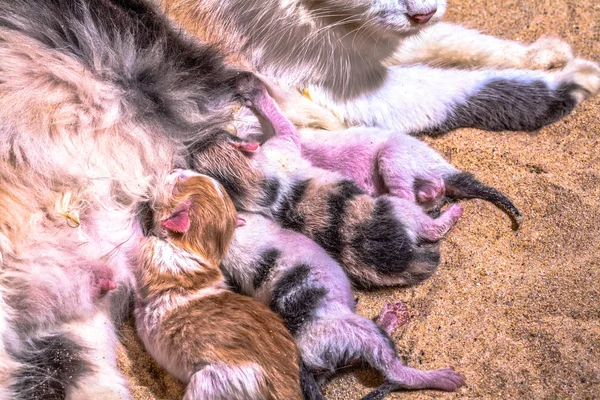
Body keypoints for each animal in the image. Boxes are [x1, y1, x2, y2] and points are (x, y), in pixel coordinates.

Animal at [129, 170, 302, 400]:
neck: (198, 248)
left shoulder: (156, 254)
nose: (174, 170)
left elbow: (139, 244)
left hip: (212, 383)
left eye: (179, 182)